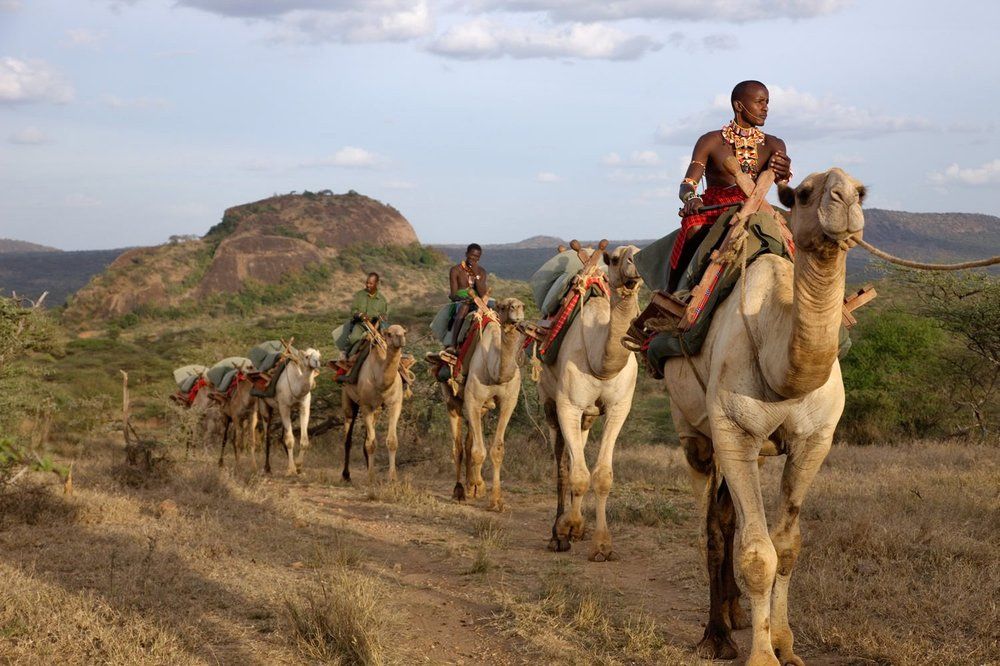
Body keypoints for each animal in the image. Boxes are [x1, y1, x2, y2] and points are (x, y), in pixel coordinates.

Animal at [251, 346, 321, 476]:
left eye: (319, 356)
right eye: (307, 356)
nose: (317, 362)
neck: (295, 385)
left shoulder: (304, 407)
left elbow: (304, 440)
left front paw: (298, 466)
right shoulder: (284, 407)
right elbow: (289, 440)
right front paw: (292, 469)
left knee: (282, 434)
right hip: (263, 404)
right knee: (267, 434)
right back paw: (267, 467)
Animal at [340, 324, 407, 485]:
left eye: (404, 331)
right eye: (389, 333)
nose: (401, 338)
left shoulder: (395, 404)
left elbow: (391, 441)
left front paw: (393, 478)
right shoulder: (366, 406)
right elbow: (371, 443)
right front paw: (371, 478)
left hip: (376, 410)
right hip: (348, 398)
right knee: (348, 437)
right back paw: (346, 475)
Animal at [441, 297, 525, 509]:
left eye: (522, 306)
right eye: (503, 307)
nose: (517, 309)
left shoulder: (508, 402)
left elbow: (497, 450)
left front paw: (496, 500)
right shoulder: (473, 399)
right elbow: (478, 451)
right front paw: (478, 485)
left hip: (483, 408)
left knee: (469, 440)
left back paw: (470, 485)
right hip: (451, 397)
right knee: (458, 446)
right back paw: (460, 491)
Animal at [539, 244, 642, 562]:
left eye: (640, 252)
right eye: (617, 258)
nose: (634, 270)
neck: (600, 361)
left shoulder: (619, 408)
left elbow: (601, 475)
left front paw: (602, 545)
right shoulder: (567, 406)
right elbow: (576, 474)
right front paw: (567, 528)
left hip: (588, 415)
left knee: (578, 453)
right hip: (549, 402)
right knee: (562, 464)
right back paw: (557, 534)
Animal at [663, 168, 866, 665]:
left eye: (862, 191)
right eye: (805, 193)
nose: (845, 198)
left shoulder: (816, 440)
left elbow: (787, 546)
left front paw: (785, 644)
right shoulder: (733, 433)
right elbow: (757, 554)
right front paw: (759, 655)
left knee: (726, 518)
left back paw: (735, 615)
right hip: (693, 435)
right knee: (711, 530)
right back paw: (716, 634)